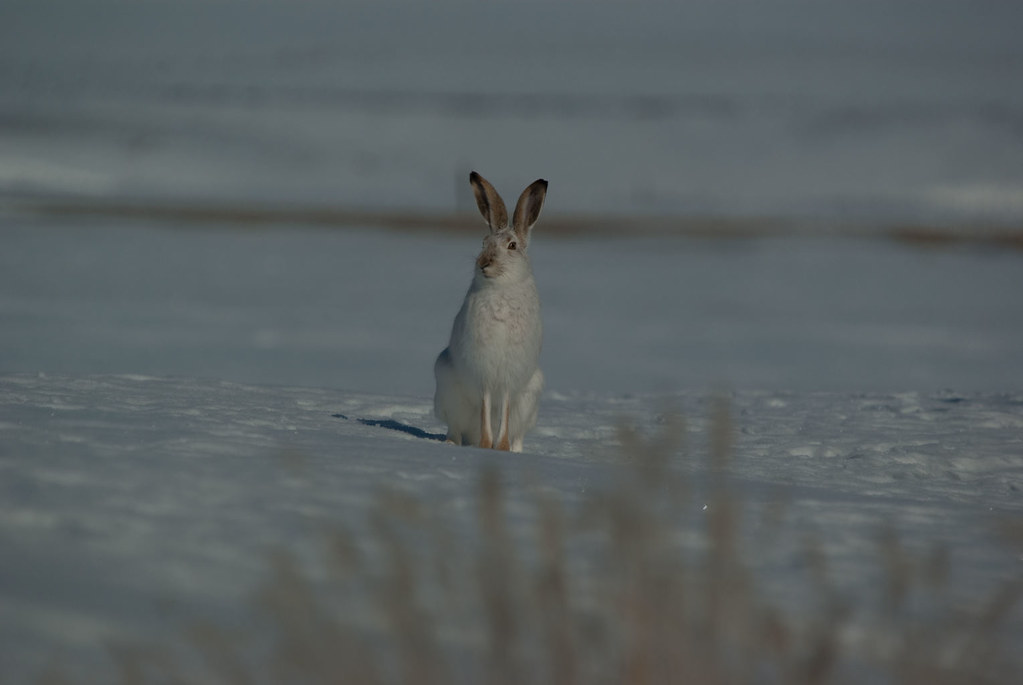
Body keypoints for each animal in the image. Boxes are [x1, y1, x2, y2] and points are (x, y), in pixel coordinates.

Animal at [434, 171, 547, 452]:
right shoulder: (484, 373)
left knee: (519, 433)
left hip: (530, 399)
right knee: (455, 428)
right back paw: (455, 443)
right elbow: (486, 406)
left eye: (512, 246)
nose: (483, 263)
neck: (501, 289)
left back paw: (516, 451)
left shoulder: (508, 377)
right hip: (448, 391)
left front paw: (501, 448)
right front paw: (486, 446)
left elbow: (503, 410)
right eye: (484, 242)